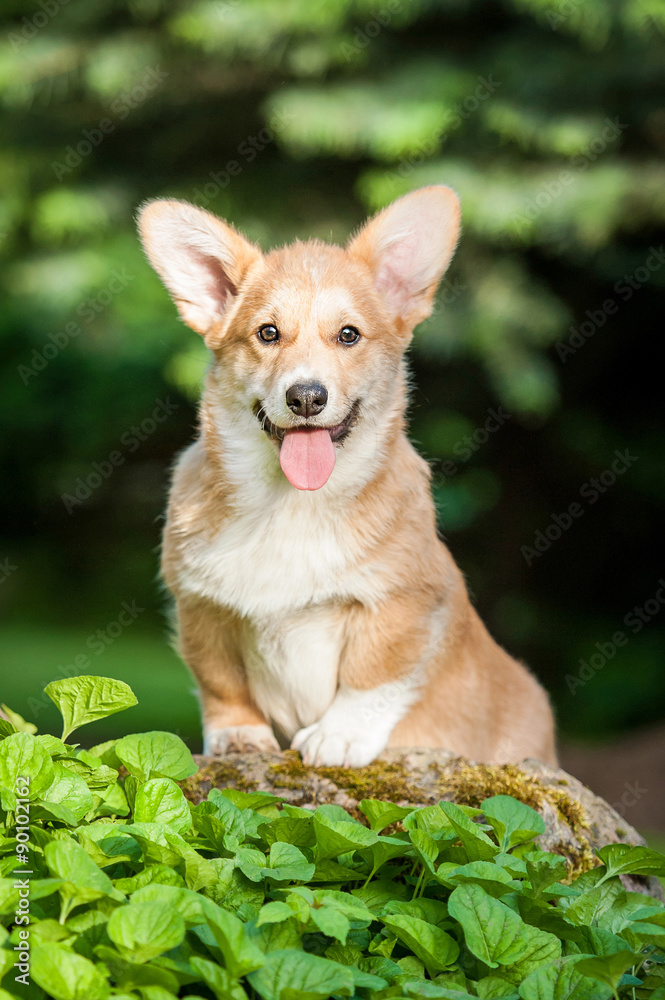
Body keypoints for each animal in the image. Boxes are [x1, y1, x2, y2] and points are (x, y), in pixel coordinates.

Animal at [139, 186, 556, 764]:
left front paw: (337, 736)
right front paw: (237, 737)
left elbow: (371, 677)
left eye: (348, 335)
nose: (306, 397)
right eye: (268, 333)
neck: (291, 504)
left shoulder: (404, 602)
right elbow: (221, 682)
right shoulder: (202, 608)